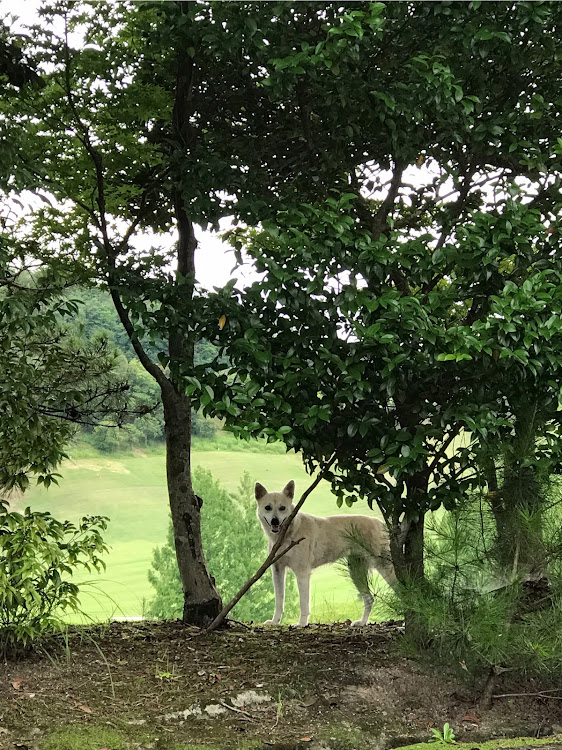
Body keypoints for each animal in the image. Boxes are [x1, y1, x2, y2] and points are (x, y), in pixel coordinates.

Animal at [254, 482, 394, 628]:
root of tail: (380, 522)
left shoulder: (302, 573)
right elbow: (279, 601)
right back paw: (362, 622)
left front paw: (302, 624)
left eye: (282, 508)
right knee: (369, 598)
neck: (289, 533)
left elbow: (304, 604)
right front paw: (275, 621)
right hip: (356, 571)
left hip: (384, 566)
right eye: (268, 507)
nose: (275, 521)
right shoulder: (277, 570)